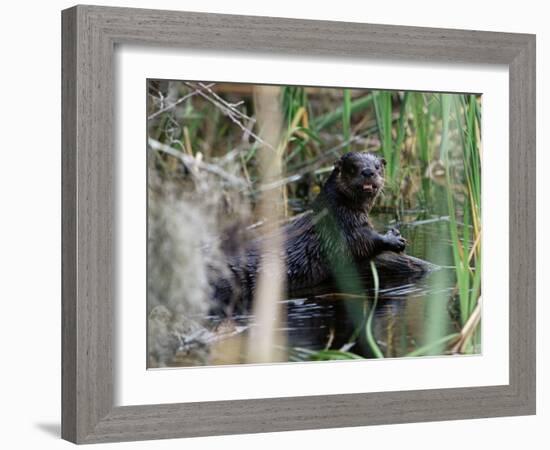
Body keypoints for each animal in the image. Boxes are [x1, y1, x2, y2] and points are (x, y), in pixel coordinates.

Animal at [213, 153, 408, 314]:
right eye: (353, 167)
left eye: (378, 166)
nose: (368, 172)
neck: (336, 211)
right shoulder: (345, 229)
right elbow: (365, 241)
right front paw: (394, 238)